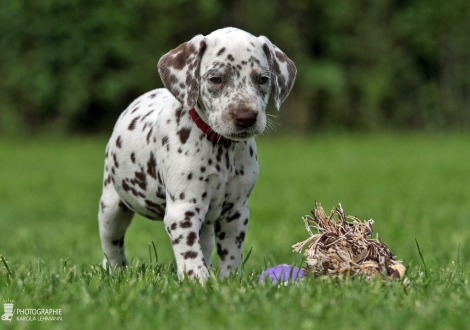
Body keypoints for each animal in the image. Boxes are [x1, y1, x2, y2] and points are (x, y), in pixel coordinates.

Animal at [98, 27, 296, 282]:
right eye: (216, 79)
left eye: (263, 79)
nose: (246, 117)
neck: (221, 150)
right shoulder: (183, 210)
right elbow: (189, 251)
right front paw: (196, 281)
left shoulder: (236, 212)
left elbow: (231, 253)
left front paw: (229, 280)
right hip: (111, 208)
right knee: (112, 245)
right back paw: (115, 271)